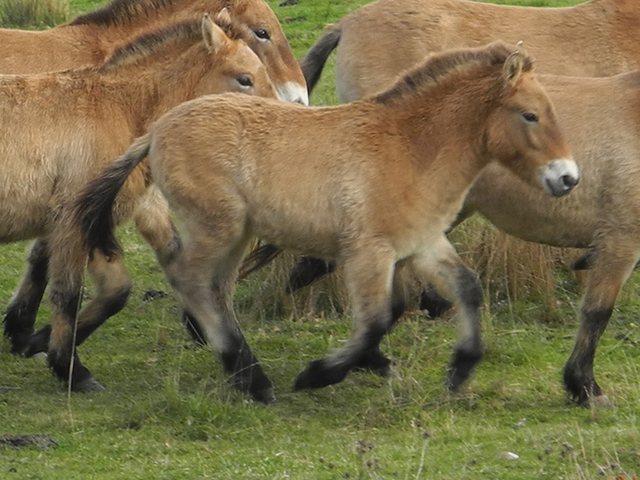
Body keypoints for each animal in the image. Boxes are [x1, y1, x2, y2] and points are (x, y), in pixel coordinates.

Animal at [0, 12, 279, 393]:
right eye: (244, 79)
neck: (122, 109)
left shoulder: (108, 216)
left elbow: (121, 284)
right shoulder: (75, 219)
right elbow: (69, 293)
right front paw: (71, 369)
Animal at [72, 42, 578, 403]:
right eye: (530, 115)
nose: (568, 178)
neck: (410, 147)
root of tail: (156, 131)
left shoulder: (422, 244)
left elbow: (465, 289)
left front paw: (458, 370)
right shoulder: (368, 253)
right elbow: (375, 320)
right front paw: (321, 373)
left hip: (236, 235)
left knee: (214, 289)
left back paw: (242, 372)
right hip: (219, 227)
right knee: (190, 280)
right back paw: (255, 380)